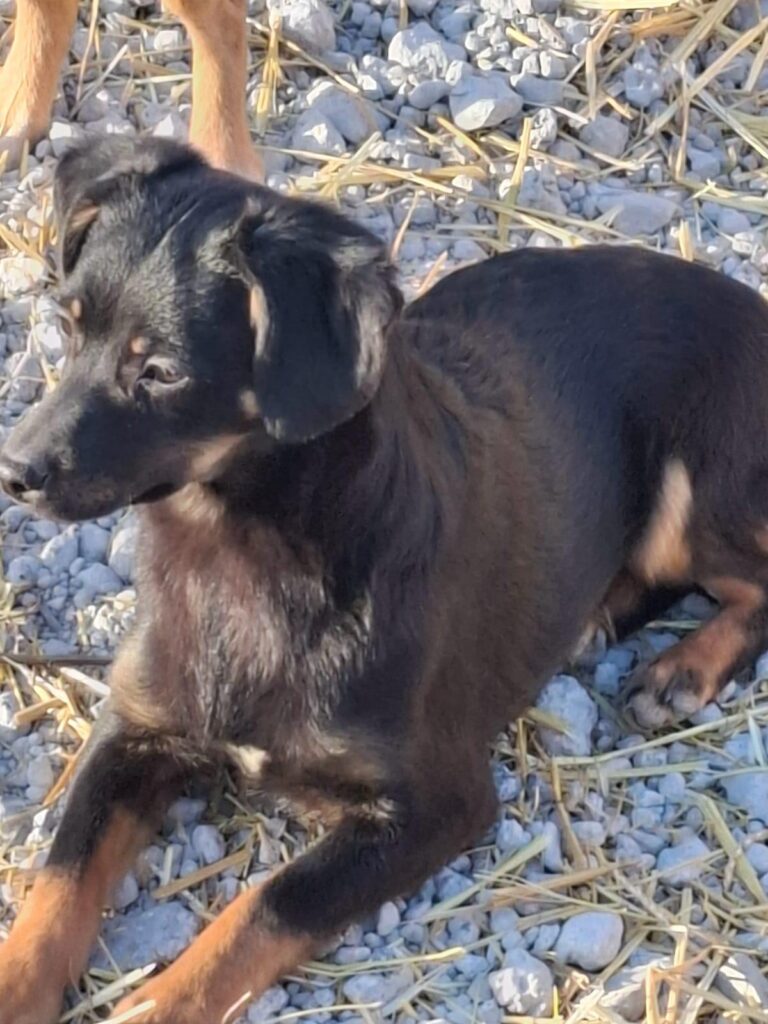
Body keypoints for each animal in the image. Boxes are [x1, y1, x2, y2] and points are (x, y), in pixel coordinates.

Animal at [2, 135, 768, 1023]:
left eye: (159, 372)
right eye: (66, 324)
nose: (14, 470)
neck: (241, 554)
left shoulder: (433, 804)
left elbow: (263, 911)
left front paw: (162, 1004)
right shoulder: (136, 727)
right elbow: (60, 876)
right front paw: (15, 981)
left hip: (696, 483)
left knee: (754, 579)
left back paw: (683, 670)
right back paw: (597, 615)